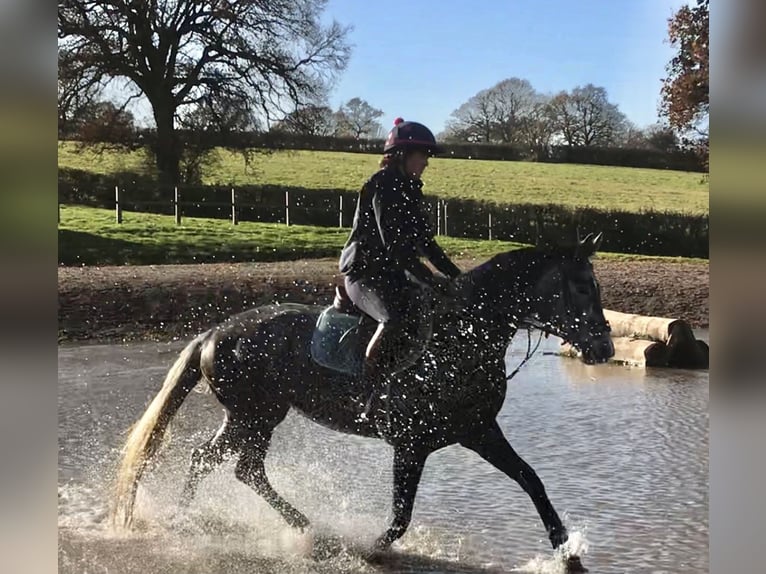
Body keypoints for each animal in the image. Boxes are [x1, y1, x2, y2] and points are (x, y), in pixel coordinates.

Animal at [111, 234, 616, 572]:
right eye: (582, 287)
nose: (604, 349)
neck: (465, 335)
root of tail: (215, 332)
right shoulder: (412, 445)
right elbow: (400, 515)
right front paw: (371, 550)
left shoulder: (478, 431)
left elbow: (532, 482)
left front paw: (568, 554)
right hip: (256, 415)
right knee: (232, 464)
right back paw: (301, 532)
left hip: (252, 416)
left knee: (222, 463)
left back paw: (211, 521)